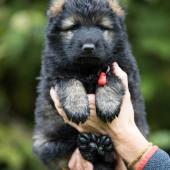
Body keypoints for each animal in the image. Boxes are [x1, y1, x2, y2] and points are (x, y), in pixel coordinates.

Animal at [32, 0, 149, 169]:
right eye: (74, 27)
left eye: (101, 27)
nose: (88, 48)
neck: (88, 69)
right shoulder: (54, 74)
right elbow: (69, 81)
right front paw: (77, 106)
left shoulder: (121, 67)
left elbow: (111, 78)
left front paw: (107, 104)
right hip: (49, 142)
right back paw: (89, 146)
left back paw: (102, 147)